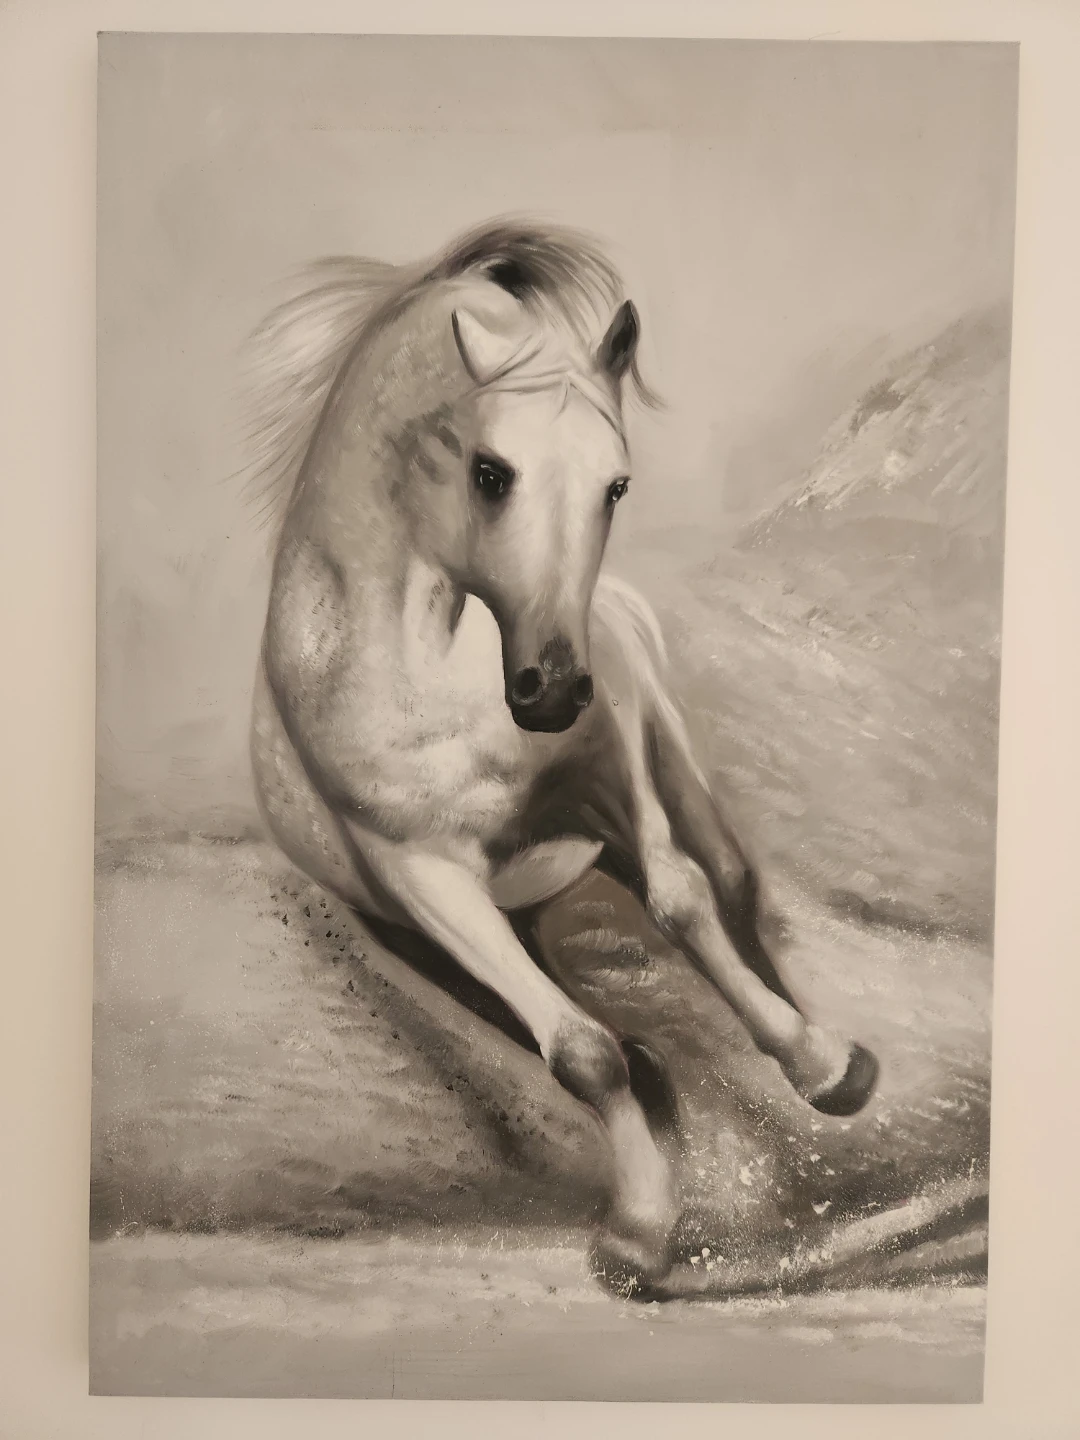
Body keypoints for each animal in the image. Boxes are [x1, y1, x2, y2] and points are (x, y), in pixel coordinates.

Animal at [246, 219, 879, 1293]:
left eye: (616, 483)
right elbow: (582, 1054)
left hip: (658, 780)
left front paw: (820, 1067)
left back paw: (829, 1061)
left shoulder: (611, 773)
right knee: (591, 1031)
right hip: (456, 927)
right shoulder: (422, 879)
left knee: (732, 890)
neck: (421, 674)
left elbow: (681, 902)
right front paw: (640, 1231)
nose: (550, 688)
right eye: (490, 471)